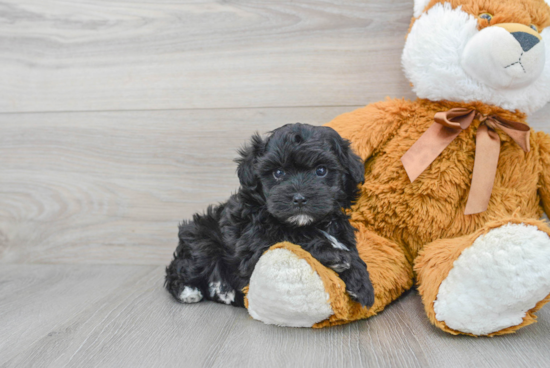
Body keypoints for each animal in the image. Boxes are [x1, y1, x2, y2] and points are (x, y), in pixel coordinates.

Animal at [166, 123, 378, 308]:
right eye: (278, 172)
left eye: (321, 171)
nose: (299, 198)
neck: (309, 224)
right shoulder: (255, 247)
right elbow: (291, 238)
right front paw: (334, 254)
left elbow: (353, 254)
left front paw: (362, 284)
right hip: (202, 239)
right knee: (181, 267)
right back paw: (190, 291)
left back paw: (222, 290)